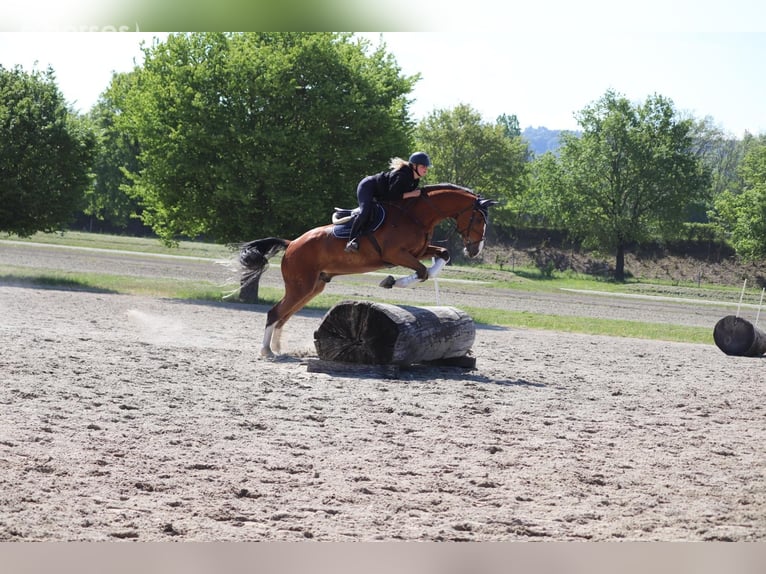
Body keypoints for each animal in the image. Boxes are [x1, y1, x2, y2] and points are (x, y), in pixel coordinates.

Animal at [239, 183, 498, 357]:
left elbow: (441, 257)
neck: (416, 215)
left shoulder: (418, 251)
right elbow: (423, 272)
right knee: (275, 313)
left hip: (313, 287)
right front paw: (391, 281)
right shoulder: (396, 254)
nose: (474, 251)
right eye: (478, 220)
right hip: (301, 286)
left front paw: (396, 280)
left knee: (284, 315)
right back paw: (266, 351)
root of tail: (292, 243)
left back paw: (277, 348)